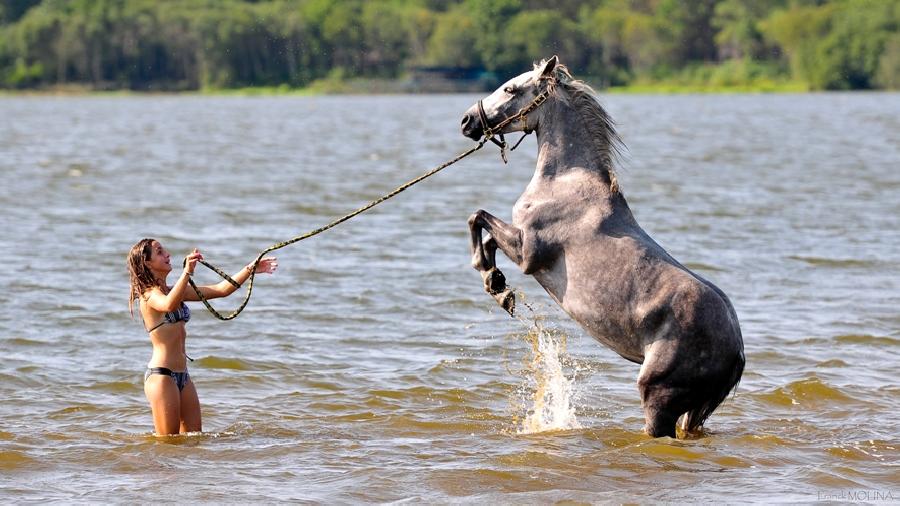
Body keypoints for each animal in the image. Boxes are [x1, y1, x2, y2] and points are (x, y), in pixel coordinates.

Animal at [460, 56, 740, 438]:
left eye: (510, 88)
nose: (467, 121)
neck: (565, 181)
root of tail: (737, 350)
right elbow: (486, 231)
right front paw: (498, 284)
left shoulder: (529, 253)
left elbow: (478, 218)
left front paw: (493, 282)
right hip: (693, 411)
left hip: (658, 398)